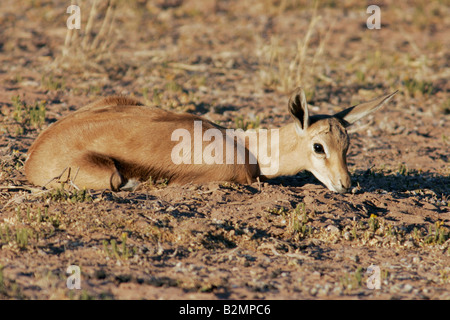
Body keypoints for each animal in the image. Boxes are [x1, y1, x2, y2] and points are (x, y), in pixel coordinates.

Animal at [25, 86, 398, 194]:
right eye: (318, 147)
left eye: (347, 146)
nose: (345, 185)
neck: (248, 149)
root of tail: (34, 155)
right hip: (109, 175)